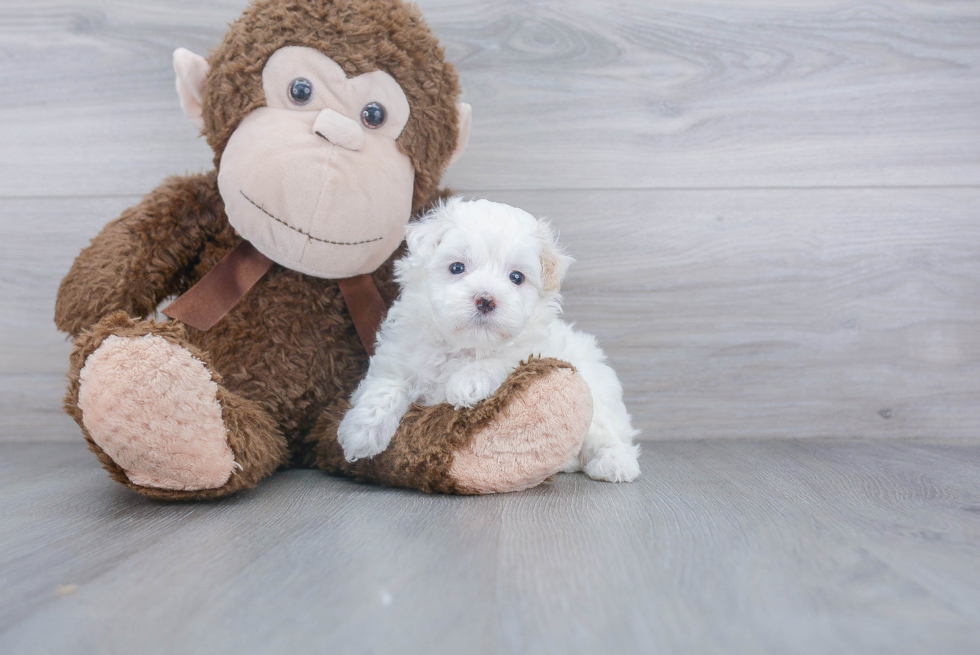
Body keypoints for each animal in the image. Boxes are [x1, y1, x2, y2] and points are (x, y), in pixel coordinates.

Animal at [336, 199, 644, 482]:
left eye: (516, 277)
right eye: (457, 267)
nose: (485, 299)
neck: (464, 345)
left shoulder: (537, 349)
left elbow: (507, 357)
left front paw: (468, 382)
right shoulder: (399, 356)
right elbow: (386, 386)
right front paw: (361, 432)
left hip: (599, 394)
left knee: (607, 433)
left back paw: (614, 463)